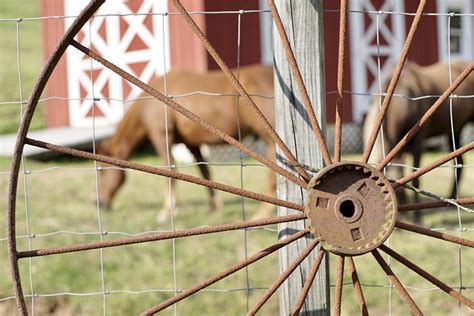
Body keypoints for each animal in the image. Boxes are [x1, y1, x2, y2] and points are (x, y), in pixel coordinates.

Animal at [97, 64, 274, 222]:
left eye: (103, 172)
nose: (99, 203)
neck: (151, 102)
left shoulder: (162, 136)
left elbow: (170, 172)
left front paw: (166, 212)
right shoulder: (191, 144)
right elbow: (205, 173)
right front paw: (215, 207)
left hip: (270, 140)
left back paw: (262, 214)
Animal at [364, 60, 472, 221]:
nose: (400, 216)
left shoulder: (418, 140)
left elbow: (415, 178)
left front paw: (417, 217)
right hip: (455, 129)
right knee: (459, 162)